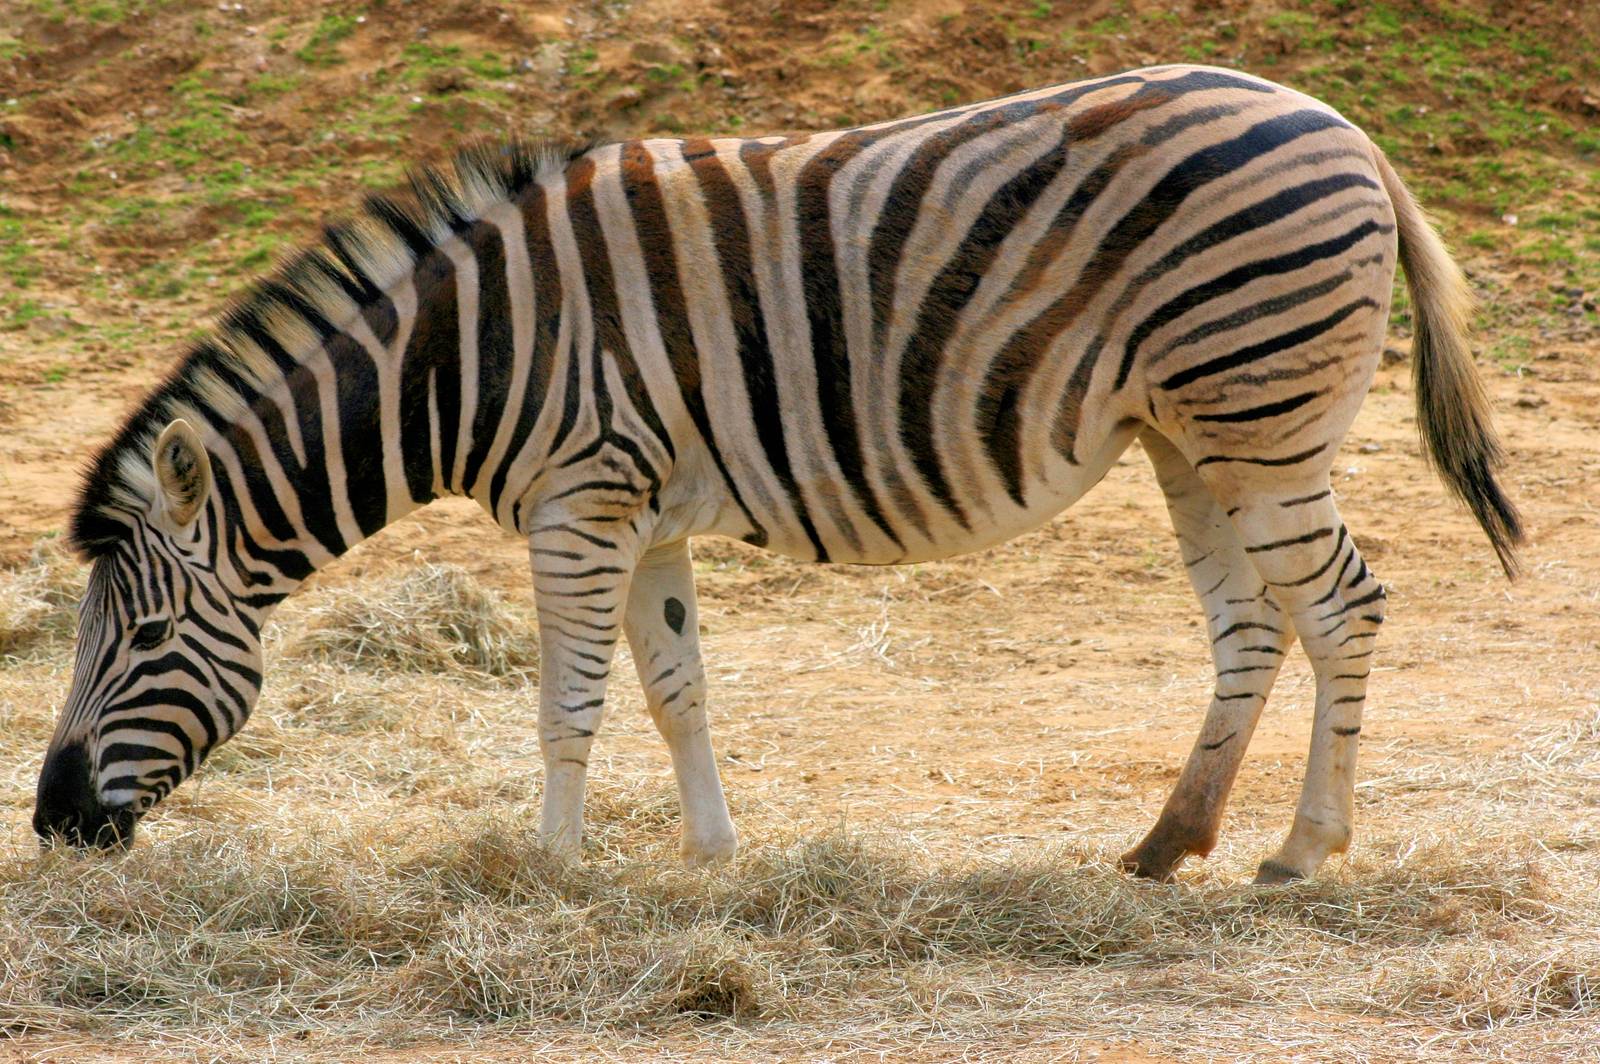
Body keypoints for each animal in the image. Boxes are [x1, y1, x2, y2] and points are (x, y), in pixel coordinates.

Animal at [35, 65, 1521, 884]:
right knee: (1253, 622)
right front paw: (710, 855)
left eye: (145, 640)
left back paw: (1302, 849)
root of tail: (1343, 127)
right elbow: (676, 685)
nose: (51, 825)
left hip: (1257, 410)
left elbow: (570, 700)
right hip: (1190, 429)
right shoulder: (639, 514)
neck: (470, 355)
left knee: (1343, 606)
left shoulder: (579, 503)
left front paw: (549, 866)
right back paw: (1169, 843)